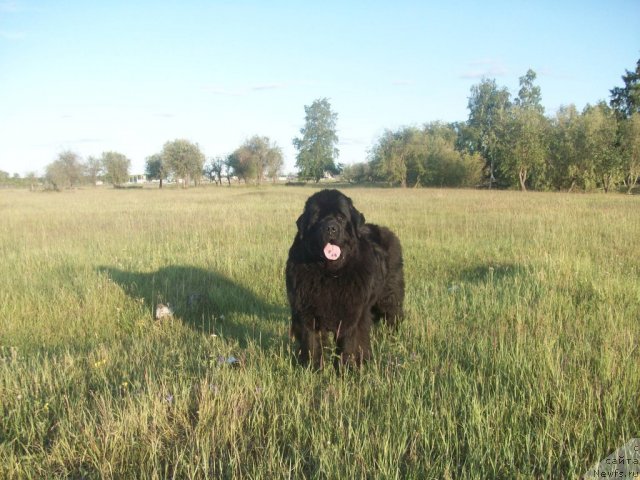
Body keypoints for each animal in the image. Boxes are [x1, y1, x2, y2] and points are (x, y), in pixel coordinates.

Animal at [286, 189, 404, 370]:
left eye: (341, 217)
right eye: (317, 217)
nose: (331, 228)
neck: (330, 274)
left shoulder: (352, 312)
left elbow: (349, 343)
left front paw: (346, 369)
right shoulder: (306, 310)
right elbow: (311, 341)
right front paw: (313, 369)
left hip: (389, 297)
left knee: (393, 315)